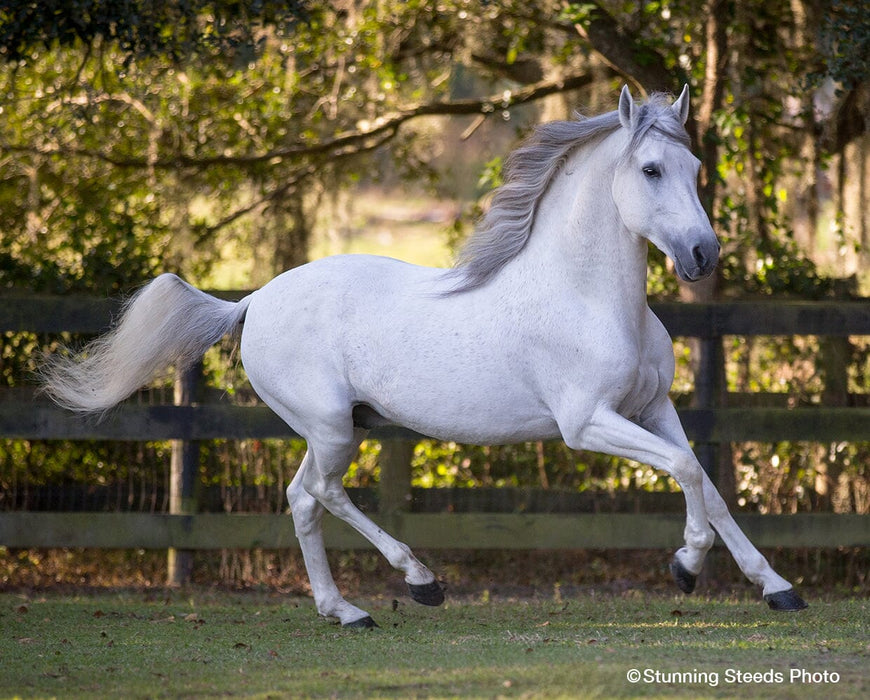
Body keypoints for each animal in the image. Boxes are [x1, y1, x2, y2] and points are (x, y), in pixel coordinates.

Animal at [41, 86, 808, 627]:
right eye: (650, 168)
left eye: (696, 167)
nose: (703, 254)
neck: (586, 296)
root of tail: (253, 299)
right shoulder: (587, 423)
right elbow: (686, 470)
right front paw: (685, 565)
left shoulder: (652, 408)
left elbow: (706, 479)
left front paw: (777, 587)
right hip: (331, 427)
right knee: (320, 494)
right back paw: (419, 582)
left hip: (334, 427)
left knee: (301, 498)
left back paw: (346, 611)